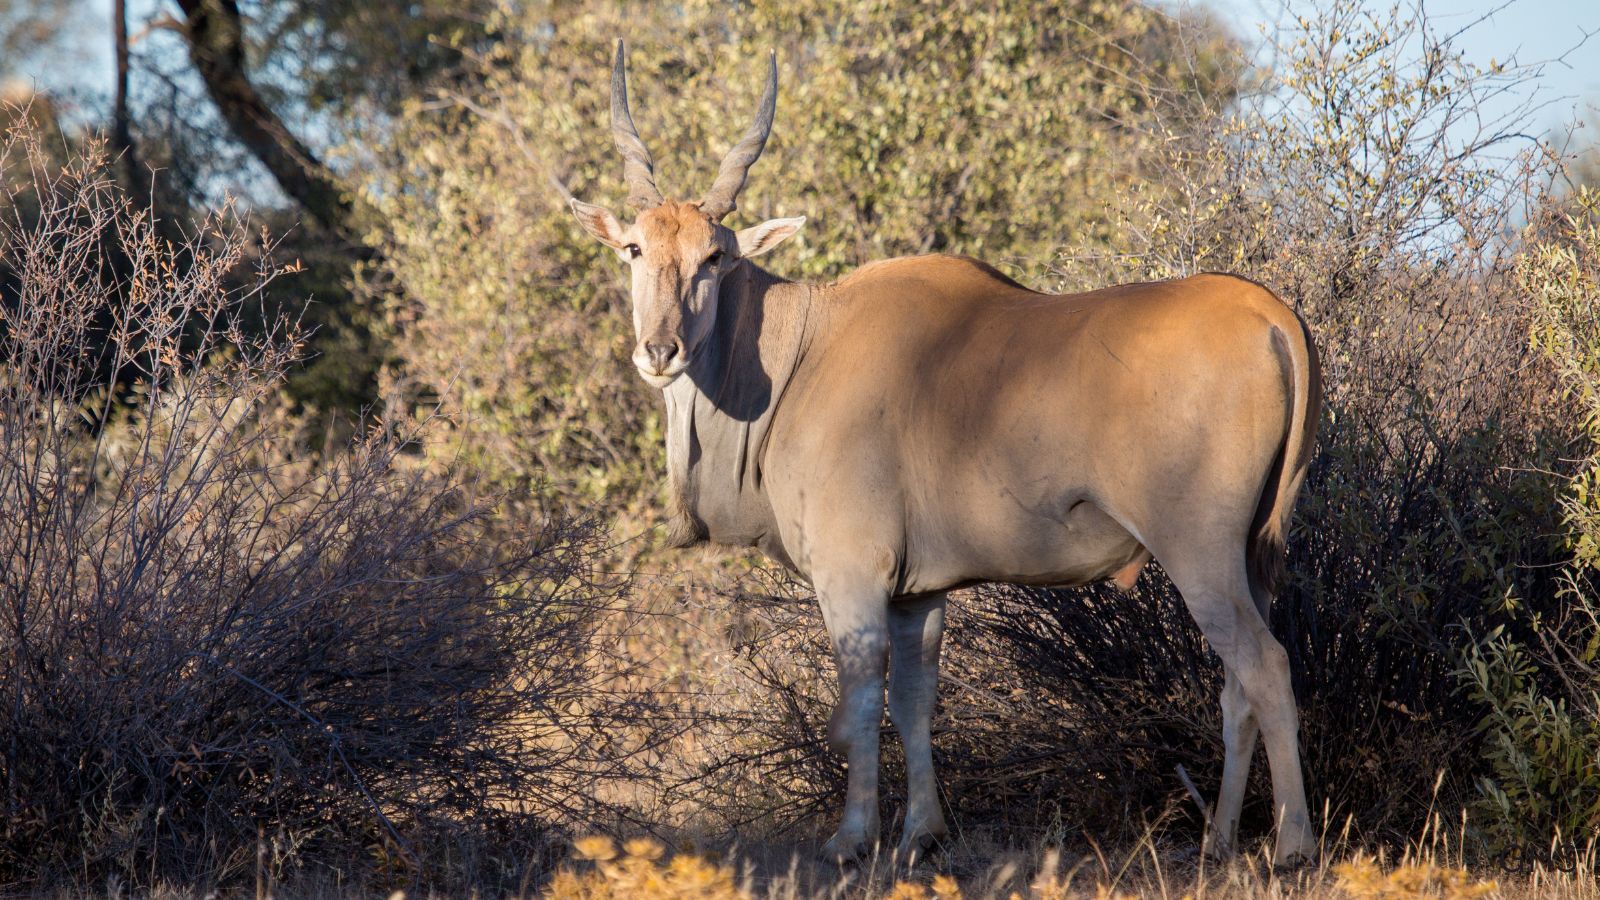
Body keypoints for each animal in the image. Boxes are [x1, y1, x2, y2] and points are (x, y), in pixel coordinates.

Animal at [569, 42, 1322, 867]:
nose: (660, 350)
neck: (802, 348)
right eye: (635, 248)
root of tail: (1270, 313)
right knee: (1236, 686)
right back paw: (1219, 841)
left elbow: (861, 700)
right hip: (1250, 556)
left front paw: (852, 839)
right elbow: (914, 701)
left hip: (1199, 550)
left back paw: (1293, 845)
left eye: (715, 258)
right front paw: (921, 833)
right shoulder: (917, 593)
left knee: (1265, 666)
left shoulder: (852, 577)